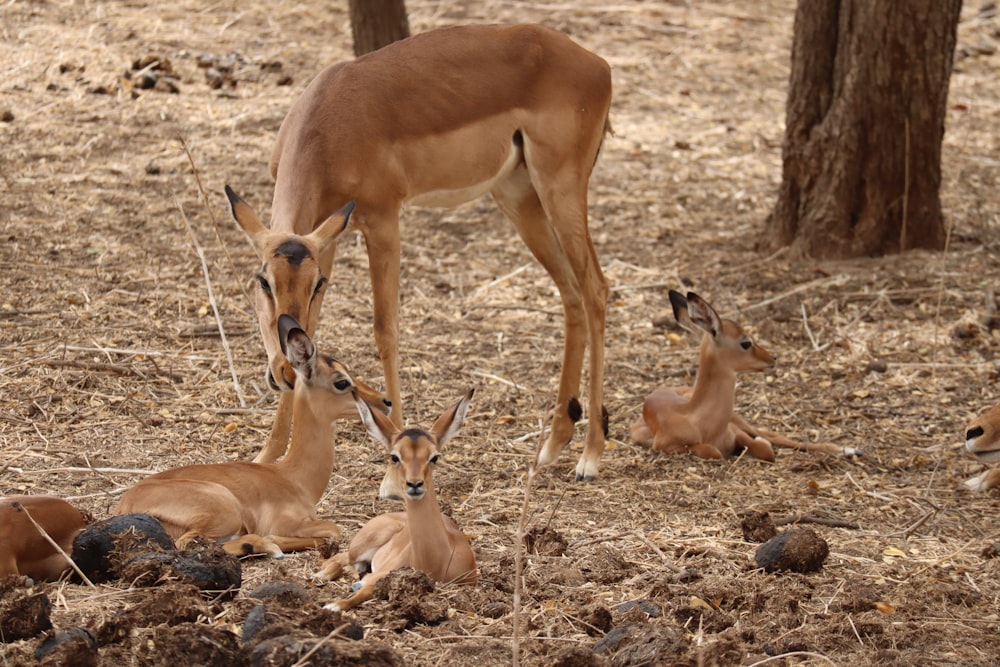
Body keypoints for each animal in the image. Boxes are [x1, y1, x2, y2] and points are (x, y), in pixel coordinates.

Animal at [113, 316, 386, 556]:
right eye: (342, 382)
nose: (385, 401)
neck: (295, 479)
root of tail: (128, 504)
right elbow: (333, 528)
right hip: (225, 512)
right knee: (187, 544)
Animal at [228, 22, 612, 480]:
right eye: (262, 281)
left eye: (313, 282)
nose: (283, 372)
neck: (331, 119)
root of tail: (598, 64)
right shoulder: (330, 234)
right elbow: (313, 331)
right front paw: (267, 456)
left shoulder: (382, 219)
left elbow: (385, 330)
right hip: (518, 196)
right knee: (570, 293)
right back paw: (553, 445)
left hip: (560, 187)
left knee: (595, 289)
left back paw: (590, 456)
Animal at [318, 388, 478, 612]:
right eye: (394, 456)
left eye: (434, 457)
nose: (414, 484)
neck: (436, 561)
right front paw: (334, 605)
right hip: (363, 544)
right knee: (339, 557)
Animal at [632, 292, 860, 464]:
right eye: (746, 343)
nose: (772, 358)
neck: (701, 422)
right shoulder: (669, 446)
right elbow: (713, 451)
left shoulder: (735, 431)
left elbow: (765, 448)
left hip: (739, 419)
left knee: (771, 434)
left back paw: (849, 450)